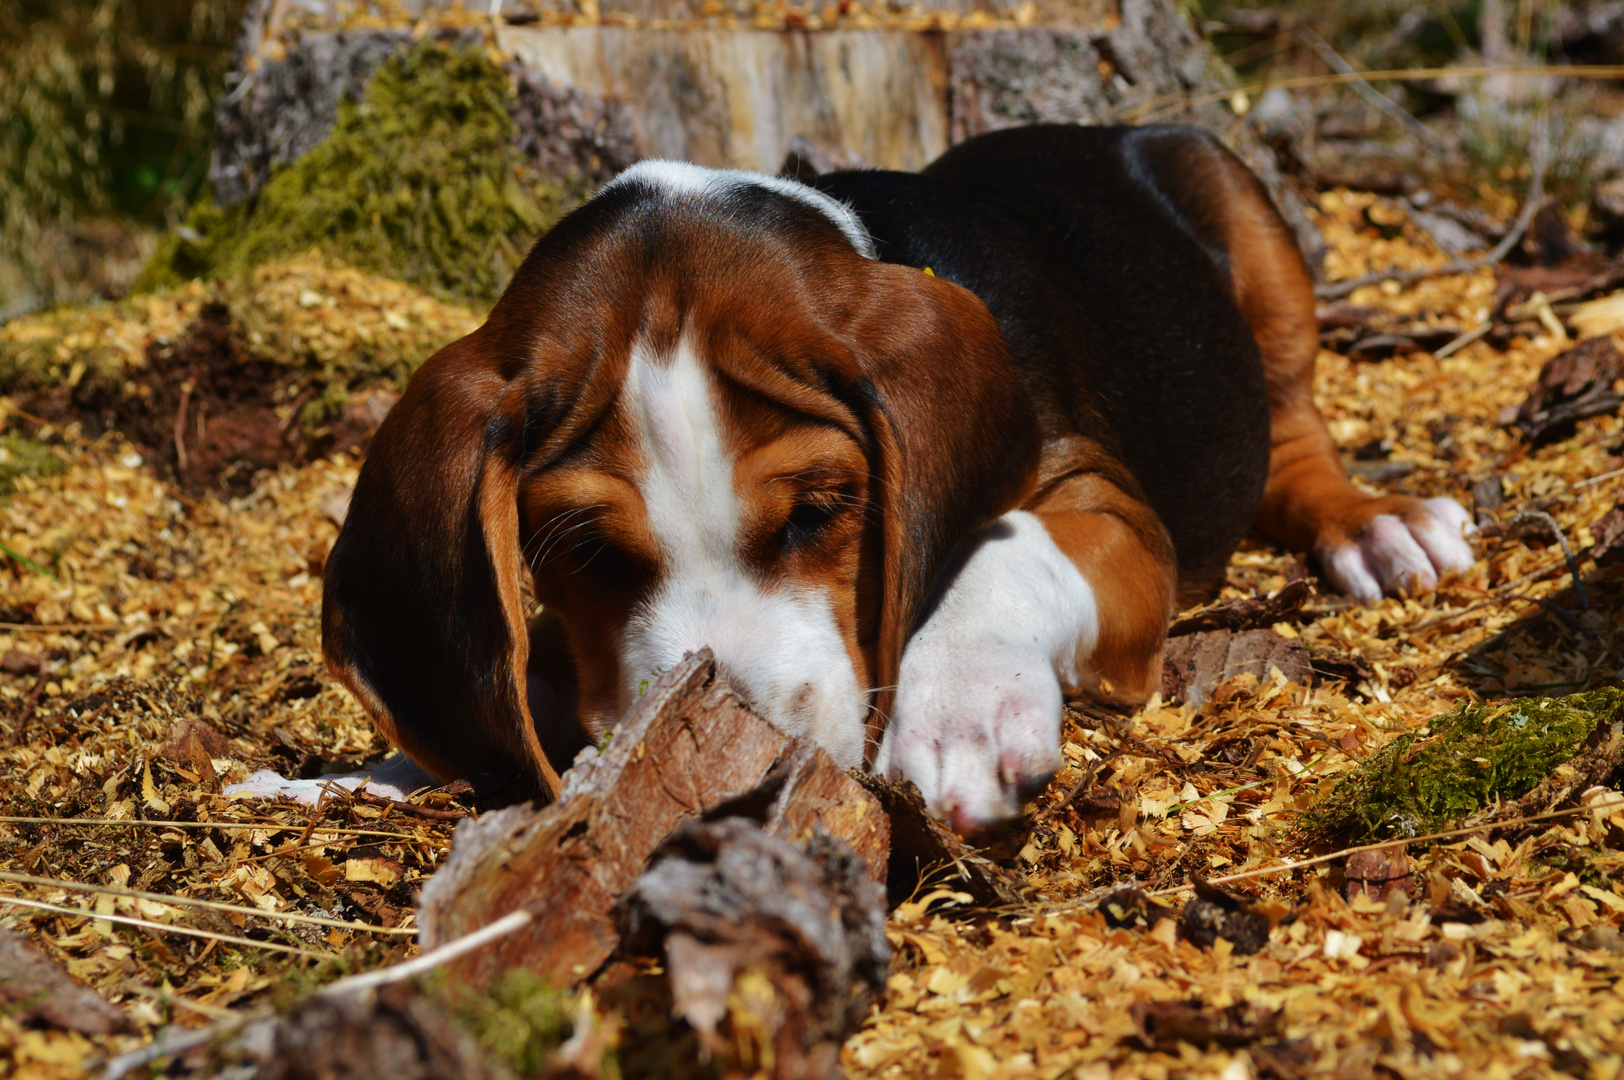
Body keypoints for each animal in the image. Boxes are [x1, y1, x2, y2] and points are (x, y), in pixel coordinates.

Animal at [323, 126, 1481, 831]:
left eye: (821, 511)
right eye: (586, 553)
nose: (729, 761)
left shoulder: (1106, 504)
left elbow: (993, 551)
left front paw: (960, 708)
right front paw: (359, 771)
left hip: (1228, 193)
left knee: (1292, 430)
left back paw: (1374, 526)